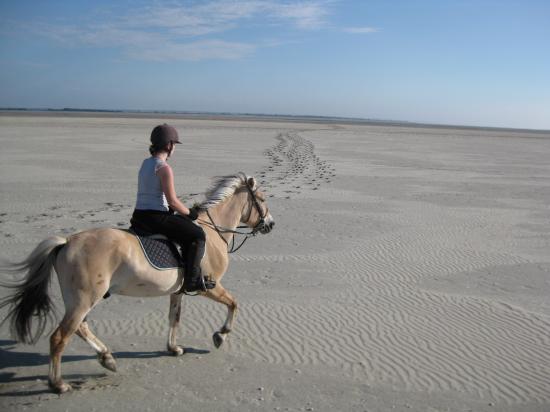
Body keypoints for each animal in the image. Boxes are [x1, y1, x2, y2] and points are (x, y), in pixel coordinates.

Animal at [0, 171, 276, 392]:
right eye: (262, 200)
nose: (271, 224)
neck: (211, 231)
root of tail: (66, 242)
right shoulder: (209, 286)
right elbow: (233, 304)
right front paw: (220, 335)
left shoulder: (178, 291)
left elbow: (174, 318)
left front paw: (173, 348)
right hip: (85, 299)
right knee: (60, 337)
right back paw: (58, 384)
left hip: (80, 300)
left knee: (79, 327)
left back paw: (107, 358)